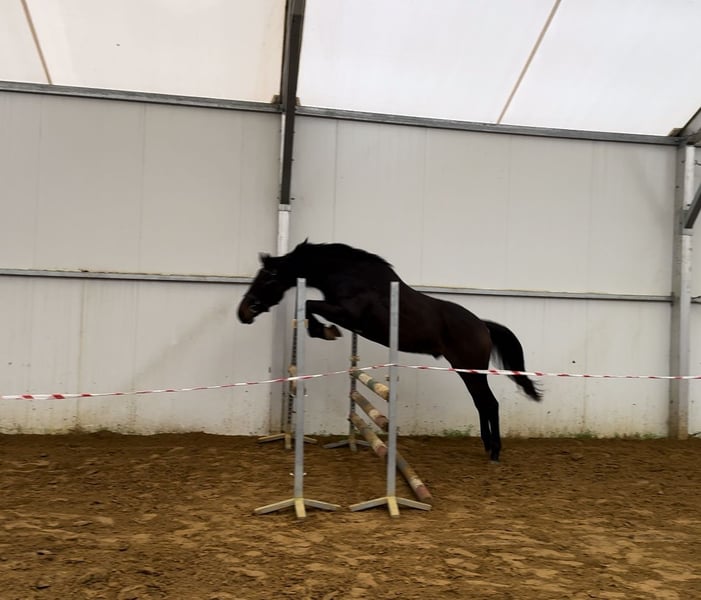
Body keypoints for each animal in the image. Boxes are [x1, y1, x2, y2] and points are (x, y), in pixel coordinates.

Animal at [237, 240, 541, 462]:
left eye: (267, 278)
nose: (244, 312)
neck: (349, 275)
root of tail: (483, 326)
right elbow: (310, 306)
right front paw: (324, 330)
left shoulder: (348, 314)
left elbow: (310, 305)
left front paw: (324, 331)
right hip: (467, 371)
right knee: (482, 404)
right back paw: (487, 446)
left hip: (471, 371)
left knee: (489, 403)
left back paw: (495, 452)